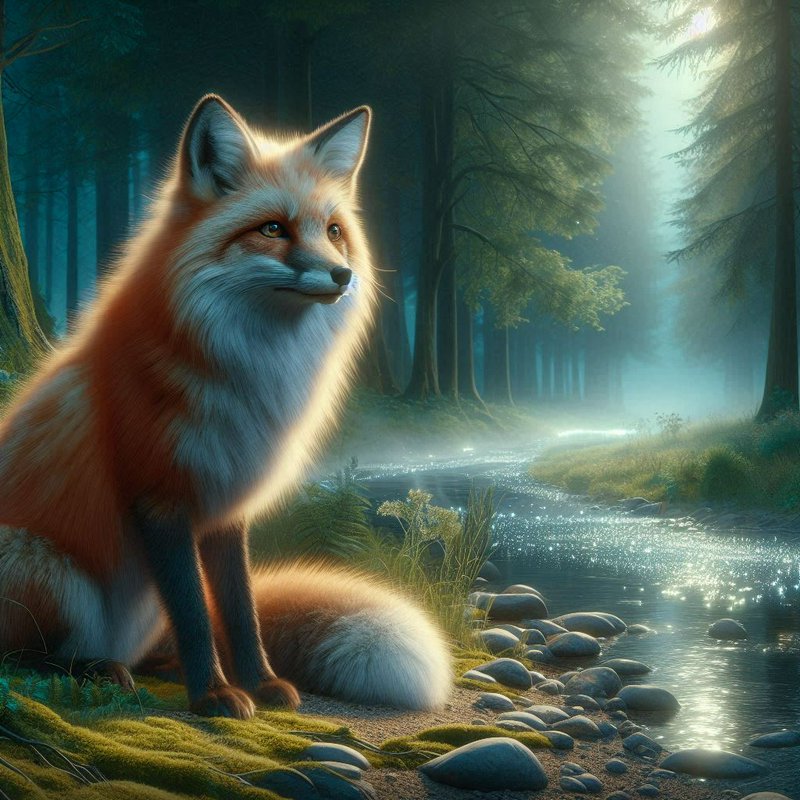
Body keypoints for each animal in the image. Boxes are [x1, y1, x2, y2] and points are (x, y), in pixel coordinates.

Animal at [0, 96, 451, 718]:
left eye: (334, 231)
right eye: (273, 229)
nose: (343, 274)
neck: (246, 379)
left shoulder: (225, 502)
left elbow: (240, 610)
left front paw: (259, 682)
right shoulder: (160, 497)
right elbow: (193, 610)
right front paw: (213, 694)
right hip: (45, 571)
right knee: (25, 657)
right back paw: (96, 669)